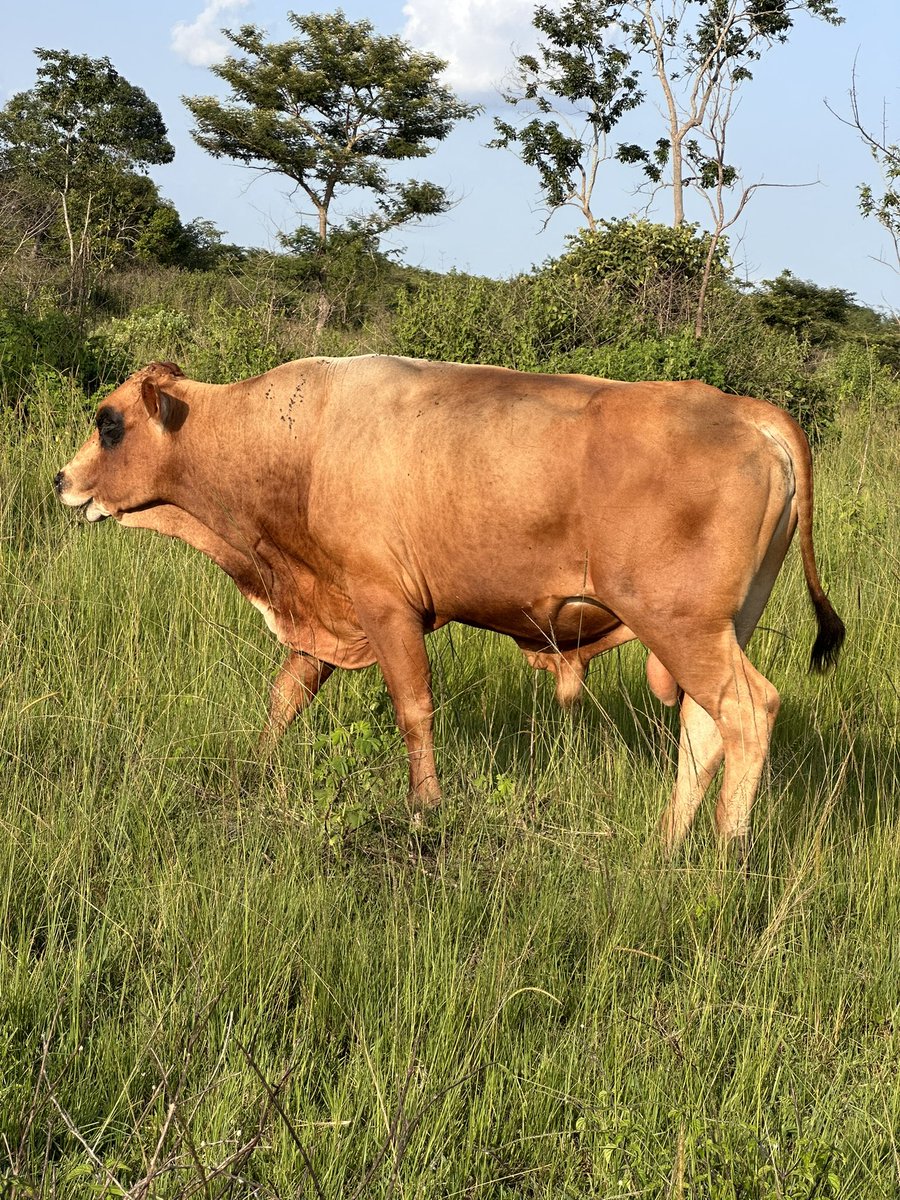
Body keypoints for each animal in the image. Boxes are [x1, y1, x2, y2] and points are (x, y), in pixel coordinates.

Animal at [54, 355, 844, 849]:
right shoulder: (332, 614)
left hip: (682, 627)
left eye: (109, 422)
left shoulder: (384, 603)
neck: (299, 442)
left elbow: (413, 708)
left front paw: (425, 809)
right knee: (705, 728)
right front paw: (253, 770)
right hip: (714, 631)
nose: (62, 479)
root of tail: (742, 410)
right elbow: (286, 696)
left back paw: (726, 855)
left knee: (748, 712)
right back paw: (667, 848)